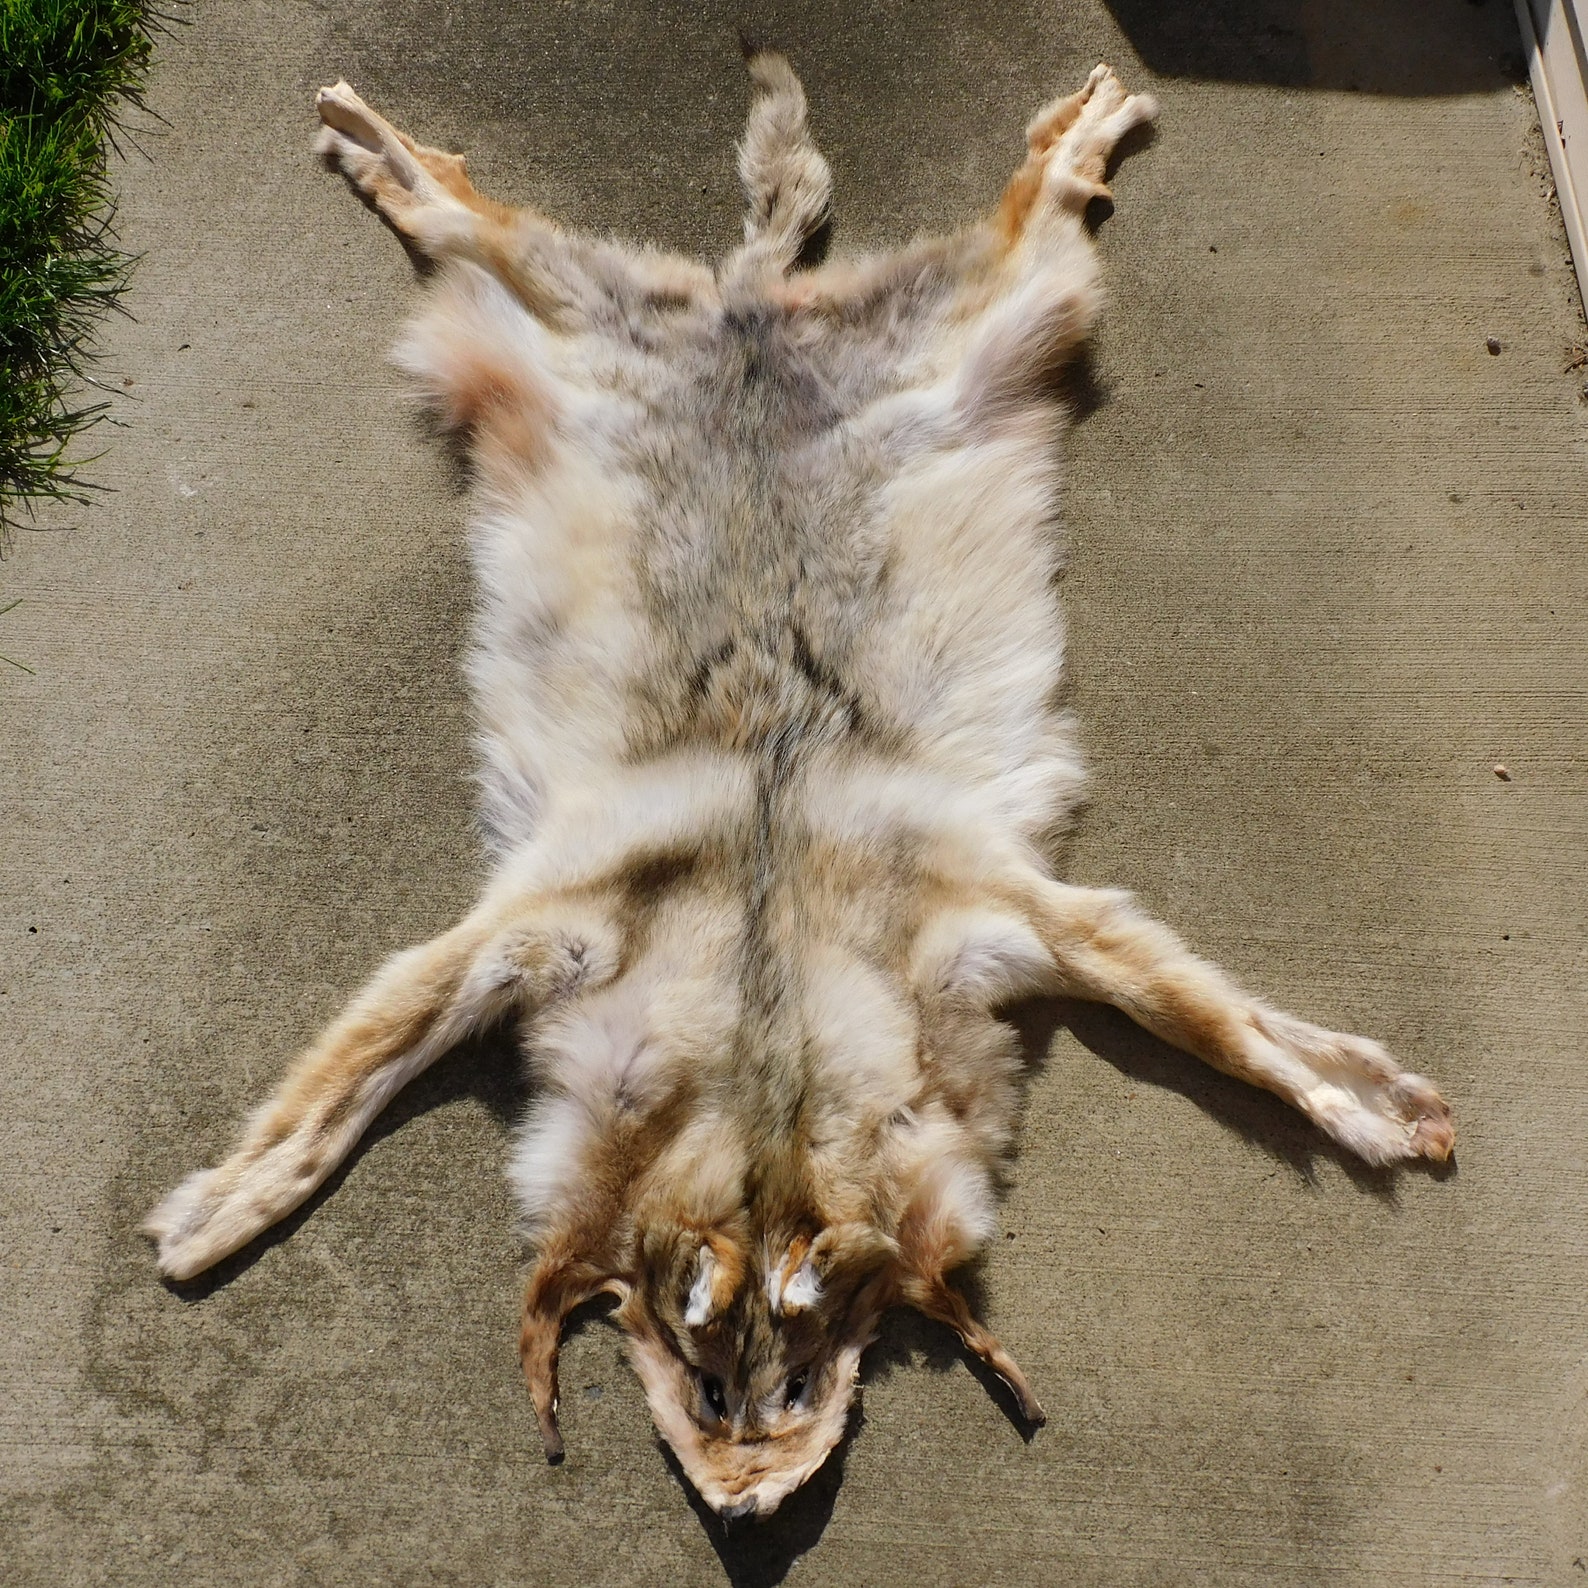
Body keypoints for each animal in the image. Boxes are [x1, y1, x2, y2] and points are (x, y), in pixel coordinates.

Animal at [144, 52, 1453, 1521]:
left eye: (796, 1374)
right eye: (700, 1383)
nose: (744, 1502)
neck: (768, 1037)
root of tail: (756, 306)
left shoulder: (1027, 915)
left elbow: (1224, 1027)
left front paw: (1373, 1106)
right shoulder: (515, 933)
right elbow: (331, 1101)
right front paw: (211, 1219)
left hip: (1003, 322)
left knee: (1024, 216)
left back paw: (1091, 123)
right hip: (545, 327)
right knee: (471, 217)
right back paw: (372, 140)